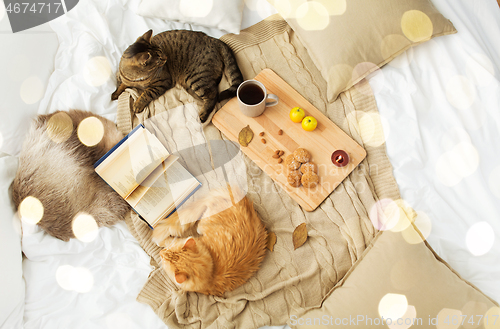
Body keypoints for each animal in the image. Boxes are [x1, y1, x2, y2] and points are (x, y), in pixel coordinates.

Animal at [112, 28, 244, 121]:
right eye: (159, 58)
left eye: (161, 52)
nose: (166, 58)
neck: (138, 79)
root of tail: (214, 39)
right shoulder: (125, 80)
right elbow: (122, 85)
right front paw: (115, 94)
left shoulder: (162, 82)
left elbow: (146, 93)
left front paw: (138, 104)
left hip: (196, 77)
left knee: (213, 94)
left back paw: (203, 115)